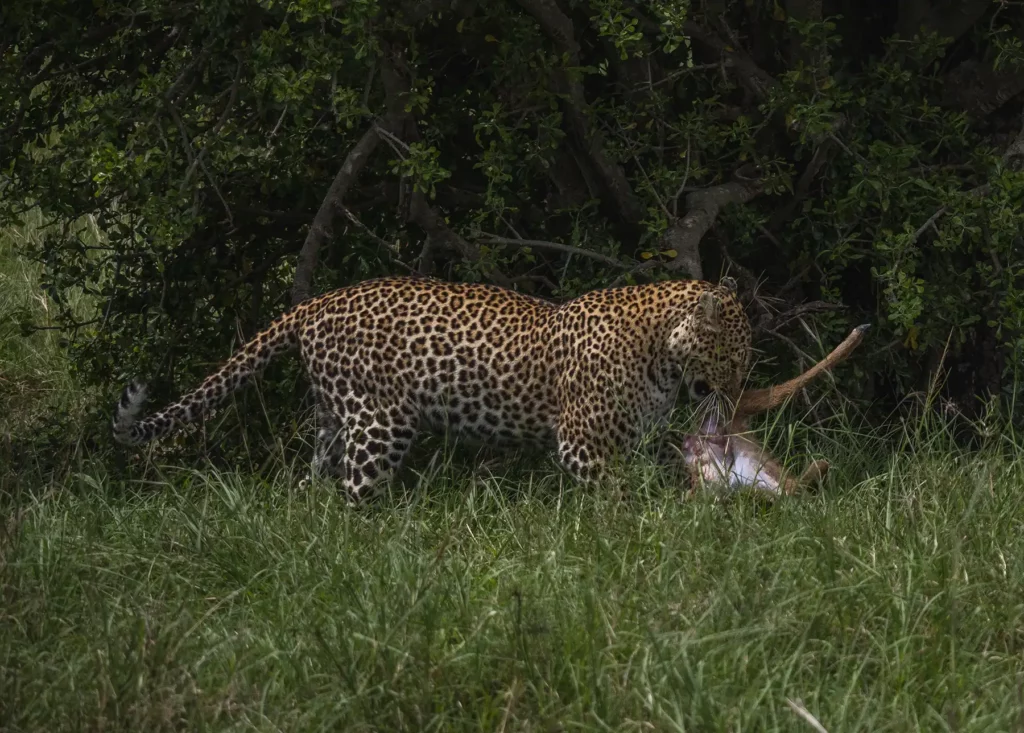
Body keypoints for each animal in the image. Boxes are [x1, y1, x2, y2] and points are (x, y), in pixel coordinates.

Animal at [112, 275, 752, 500]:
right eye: (733, 358)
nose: (739, 394)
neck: (662, 358)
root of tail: (318, 302)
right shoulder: (583, 444)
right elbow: (621, 495)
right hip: (380, 422)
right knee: (356, 493)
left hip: (333, 419)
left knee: (315, 479)